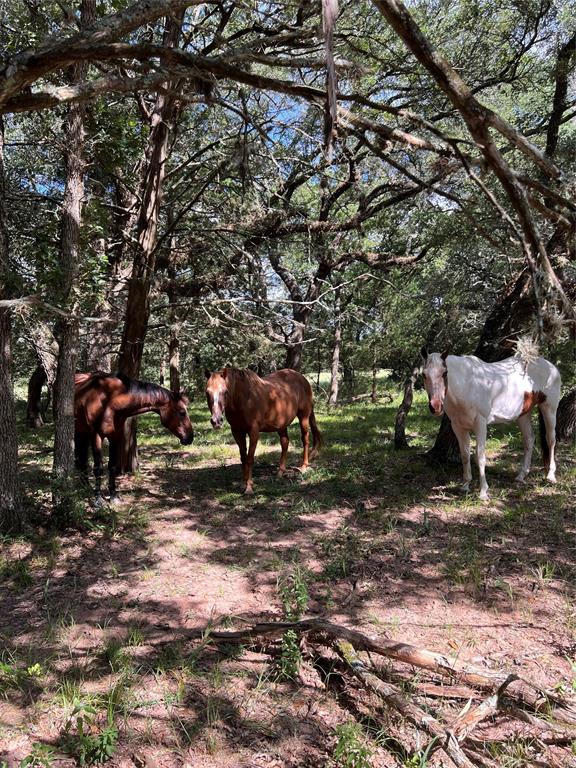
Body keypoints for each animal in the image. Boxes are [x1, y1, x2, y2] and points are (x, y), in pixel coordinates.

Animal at [74, 370, 194, 504]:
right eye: (182, 412)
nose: (190, 437)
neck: (110, 400)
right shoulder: (96, 436)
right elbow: (98, 468)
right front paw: (97, 500)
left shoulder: (115, 436)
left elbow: (112, 466)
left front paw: (114, 495)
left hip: (82, 432)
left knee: (81, 459)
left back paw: (85, 487)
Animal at [206, 368, 324, 498]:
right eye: (207, 392)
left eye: (225, 391)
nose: (216, 421)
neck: (244, 398)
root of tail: (303, 378)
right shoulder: (237, 431)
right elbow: (243, 458)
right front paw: (243, 483)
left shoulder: (253, 431)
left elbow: (250, 459)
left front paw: (249, 487)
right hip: (282, 425)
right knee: (285, 443)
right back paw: (280, 472)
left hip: (304, 417)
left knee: (305, 440)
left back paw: (303, 467)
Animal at [420, 350, 560, 504]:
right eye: (424, 374)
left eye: (444, 373)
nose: (435, 406)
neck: (467, 385)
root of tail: (551, 366)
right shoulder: (458, 427)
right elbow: (464, 455)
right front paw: (465, 485)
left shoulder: (480, 424)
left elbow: (480, 457)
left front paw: (483, 492)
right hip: (523, 414)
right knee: (529, 440)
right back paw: (521, 476)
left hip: (549, 409)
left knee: (551, 440)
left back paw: (551, 475)